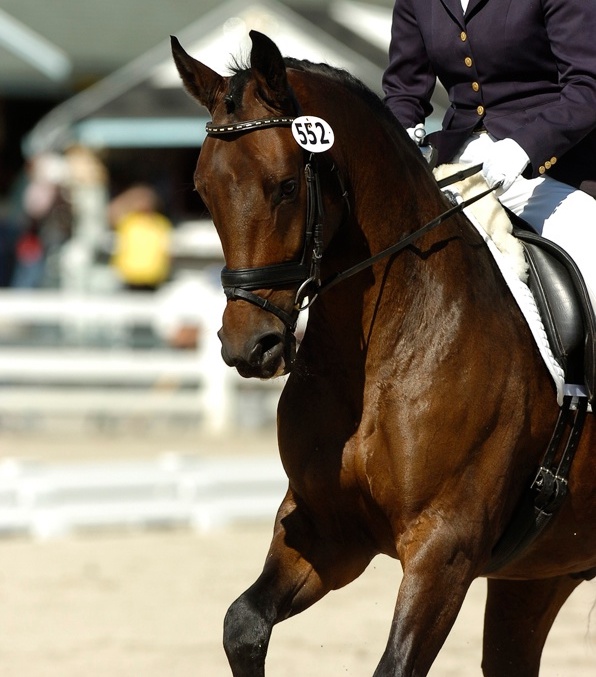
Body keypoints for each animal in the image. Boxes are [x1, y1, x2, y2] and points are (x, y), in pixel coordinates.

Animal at [171, 31, 596, 676]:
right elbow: (242, 625)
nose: (249, 346)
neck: (381, 356)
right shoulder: (327, 532)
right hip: (541, 572)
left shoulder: (445, 546)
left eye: (287, 185)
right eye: (203, 190)